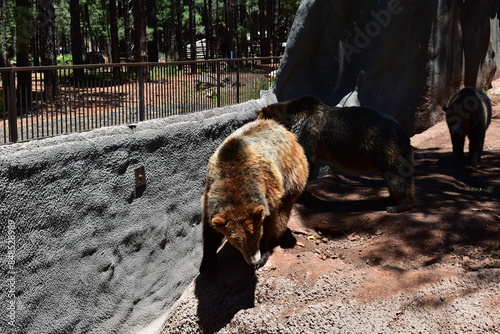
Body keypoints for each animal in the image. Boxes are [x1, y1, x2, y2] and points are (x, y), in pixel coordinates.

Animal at [200, 118, 308, 272]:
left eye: (256, 237)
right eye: (237, 243)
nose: (253, 261)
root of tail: (282, 128)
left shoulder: (269, 190)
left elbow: (271, 221)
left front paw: (264, 252)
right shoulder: (210, 194)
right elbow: (209, 230)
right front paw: (207, 264)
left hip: (292, 173)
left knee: (284, 209)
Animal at [254, 95, 414, 213]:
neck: (290, 123)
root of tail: (402, 130)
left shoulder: (306, 132)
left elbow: (305, 161)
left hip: (387, 147)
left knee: (397, 176)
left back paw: (398, 206)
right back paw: (390, 199)